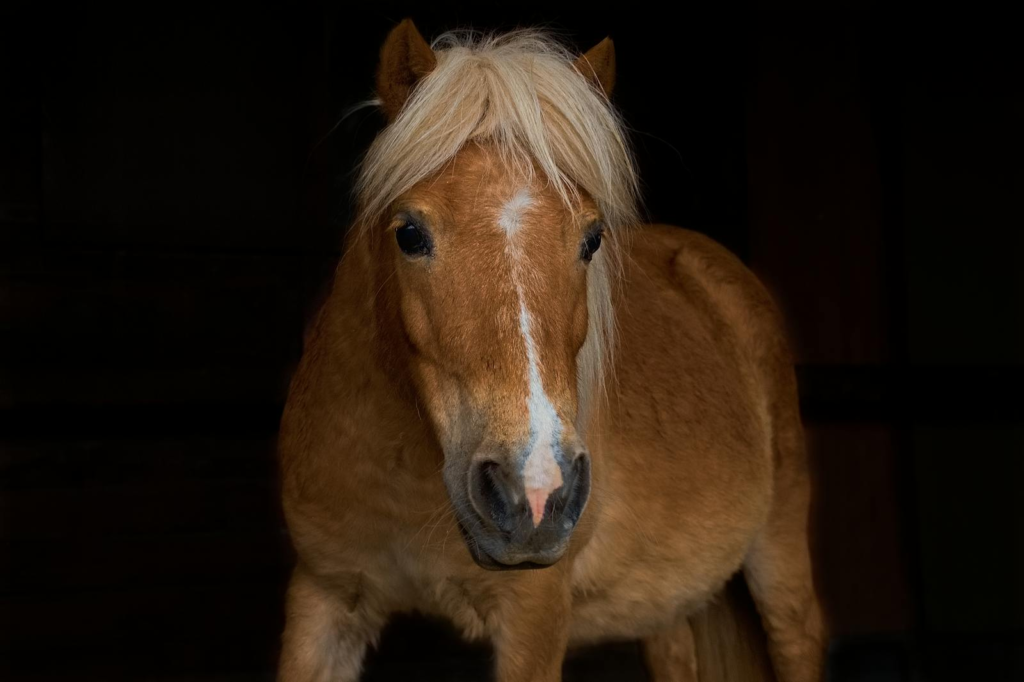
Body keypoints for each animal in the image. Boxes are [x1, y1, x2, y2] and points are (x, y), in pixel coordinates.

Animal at [277, 20, 825, 682]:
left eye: (591, 239)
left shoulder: (533, 617)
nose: (535, 490)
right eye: (409, 234)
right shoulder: (324, 596)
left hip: (780, 565)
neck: (405, 475)